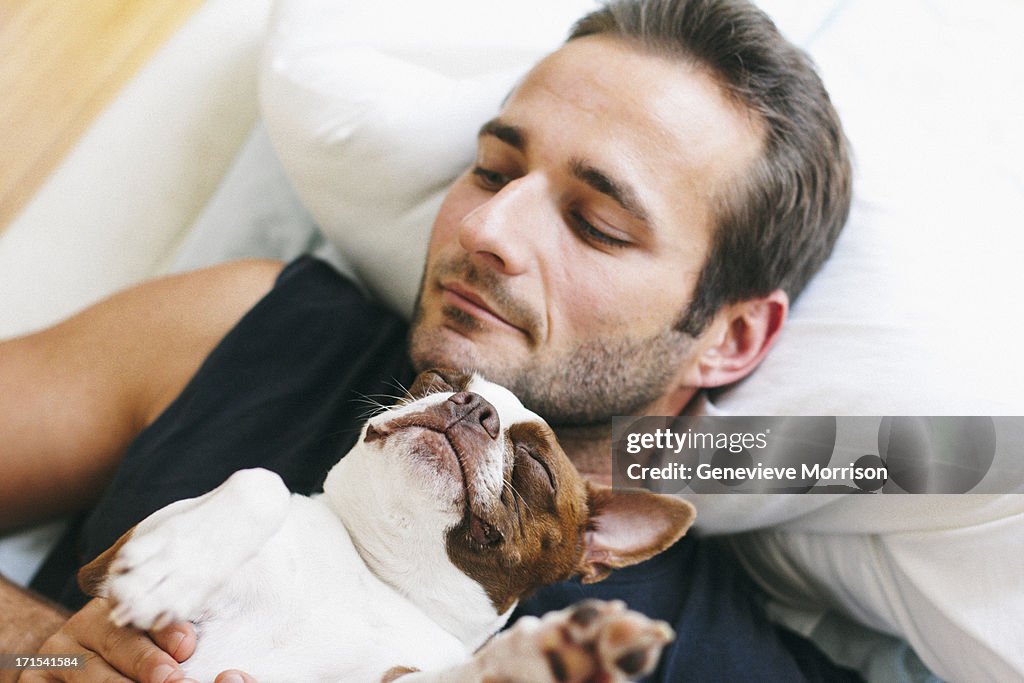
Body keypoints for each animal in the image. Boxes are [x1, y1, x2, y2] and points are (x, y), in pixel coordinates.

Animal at [75, 370, 692, 683]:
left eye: (538, 467)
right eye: (435, 378)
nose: (470, 404)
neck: (378, 576)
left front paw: (549, 656)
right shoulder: (106, 565)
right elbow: (262, 479)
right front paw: (170, 569)